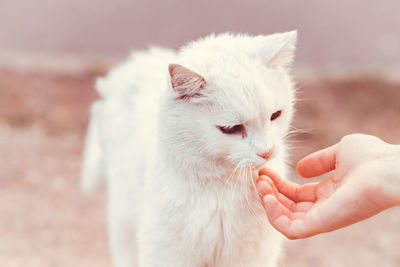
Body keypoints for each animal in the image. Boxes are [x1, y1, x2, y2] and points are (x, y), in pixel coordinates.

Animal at [82, 31, 296, 267]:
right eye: (231, 129)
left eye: (275, 115)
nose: (267, 151)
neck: (221, 190)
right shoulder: (166, 252)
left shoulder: (251, 255)